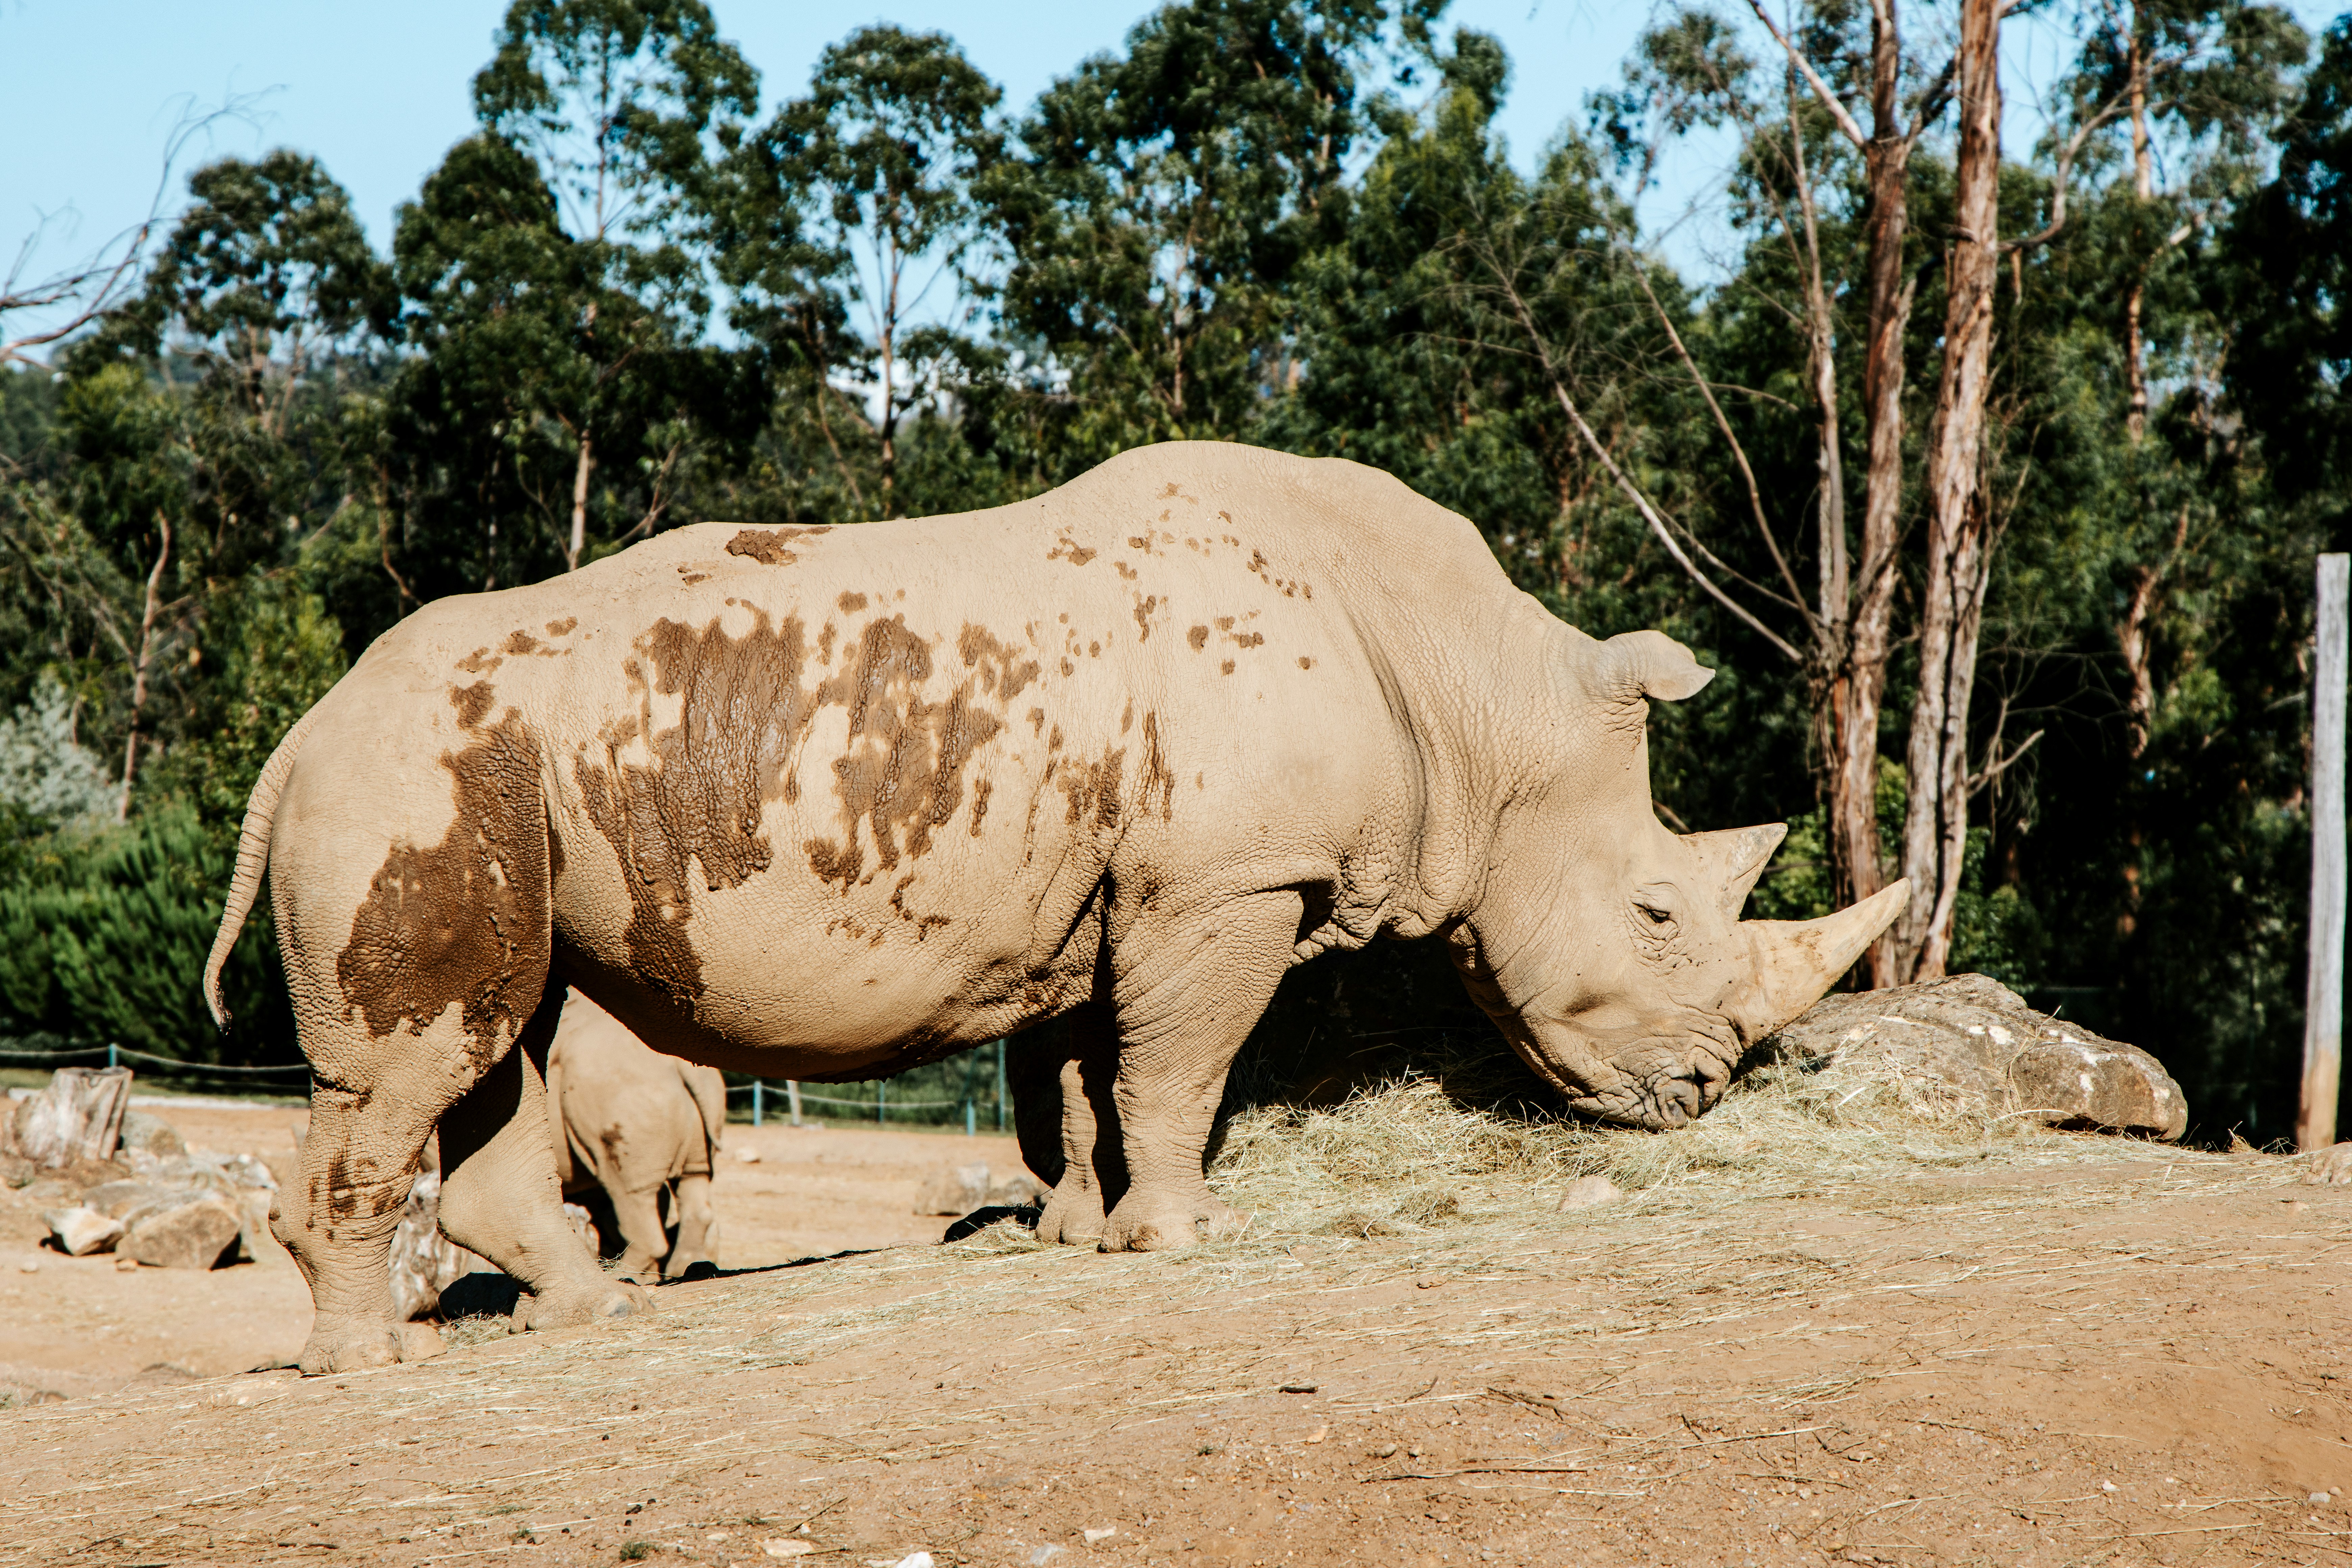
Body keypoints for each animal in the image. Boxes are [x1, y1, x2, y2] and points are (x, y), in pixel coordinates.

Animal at [548, 987, 726, 1283]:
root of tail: (677, 1062)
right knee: (692, 1177)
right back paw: (680, 1272)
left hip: (614, 1088)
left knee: (626, 1189)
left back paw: (622, 1277)